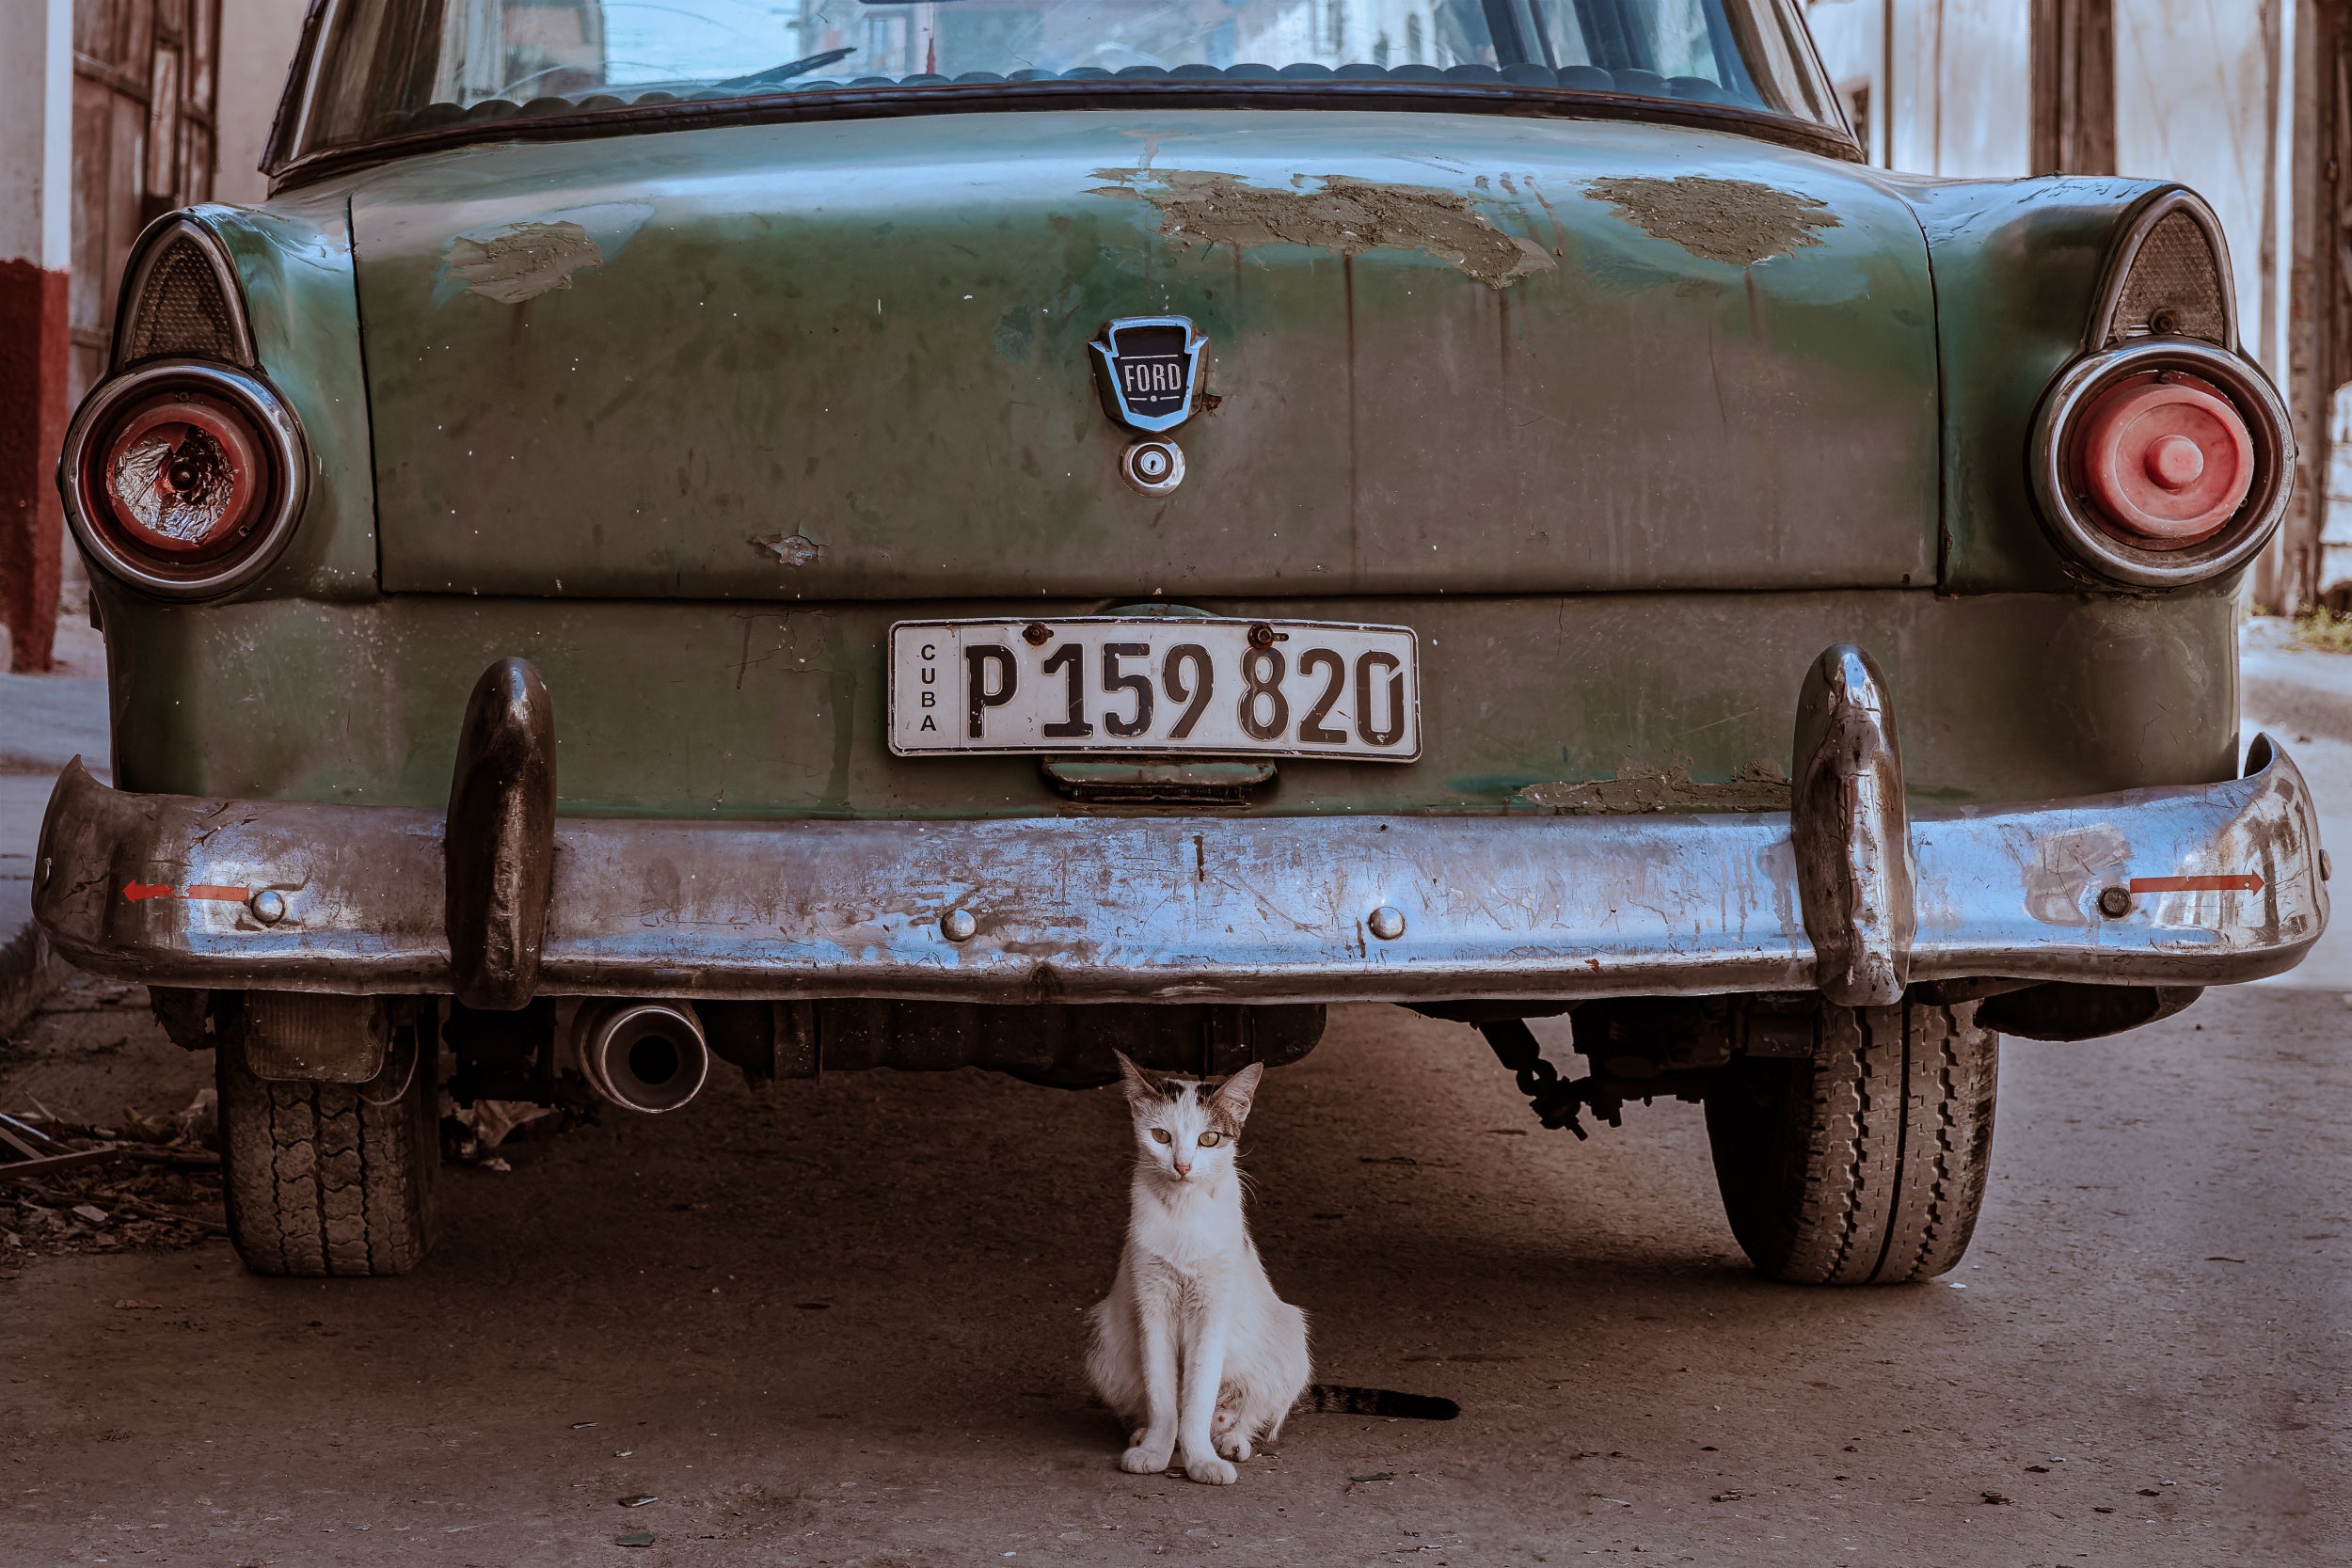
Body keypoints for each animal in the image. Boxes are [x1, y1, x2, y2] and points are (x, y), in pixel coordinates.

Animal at [1087, 1053, 1317, 1485]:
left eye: (1209, 1139)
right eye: (1161, 1136)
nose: (1182, 1166)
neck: (1184, 1211)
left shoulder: (1213, 1306)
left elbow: (1198, 1396)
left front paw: (1203, 1462)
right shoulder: (1152, 1300)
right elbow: (1162, 1395)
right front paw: (1156, 1451)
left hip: (1290, 1336)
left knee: (1251, 1412)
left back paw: (1231, 1440)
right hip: (1105, 1341)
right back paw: (1144, 1433)